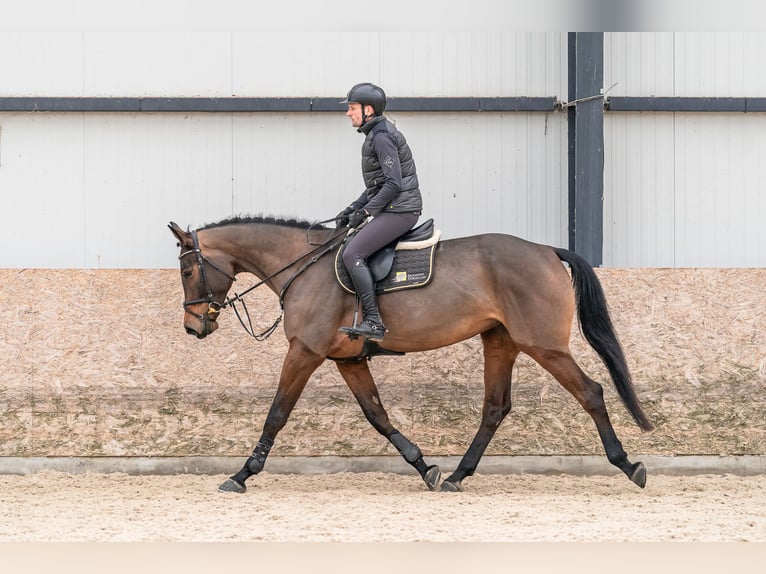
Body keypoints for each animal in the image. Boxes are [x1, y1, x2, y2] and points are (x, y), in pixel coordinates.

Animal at [168, 216, 656, 496]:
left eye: (188, 269)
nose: (194, 327)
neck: (304, 267)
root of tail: (546, 250)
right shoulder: (348, 360)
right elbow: (378, 415)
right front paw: (426, 469)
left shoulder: (304, 352)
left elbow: (276, 414)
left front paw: (241, 475)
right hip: (500, 341)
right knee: (495, 407)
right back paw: (458, 476)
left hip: (544, 346)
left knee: (591, 392)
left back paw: (629, 466)